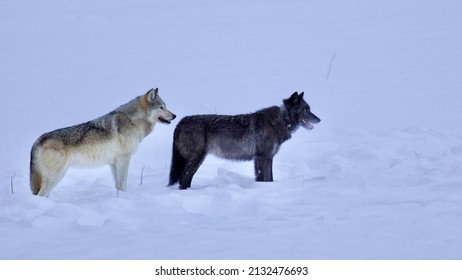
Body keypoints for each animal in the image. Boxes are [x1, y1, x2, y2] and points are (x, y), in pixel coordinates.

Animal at [30, 88, 175, 197]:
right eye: (161, 107)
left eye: (165, 106)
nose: (175, 116)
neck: (133, 119)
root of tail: (38, 139)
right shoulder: (124, 158)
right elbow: (123, 182)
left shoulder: (114, 162)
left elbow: (118, 184)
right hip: (54, 177)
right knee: (41, 195)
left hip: (58, 176)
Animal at [168, 91, 320, 189]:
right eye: (305, 110)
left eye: (309, 109)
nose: (319, 119)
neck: (281, 120)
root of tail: (181, 122)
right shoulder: (261, 158)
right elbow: (262, 179)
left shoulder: (269, 158)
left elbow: (269, 179)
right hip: (196, 159)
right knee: (183, 178)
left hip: (198, 160)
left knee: (186, 179)